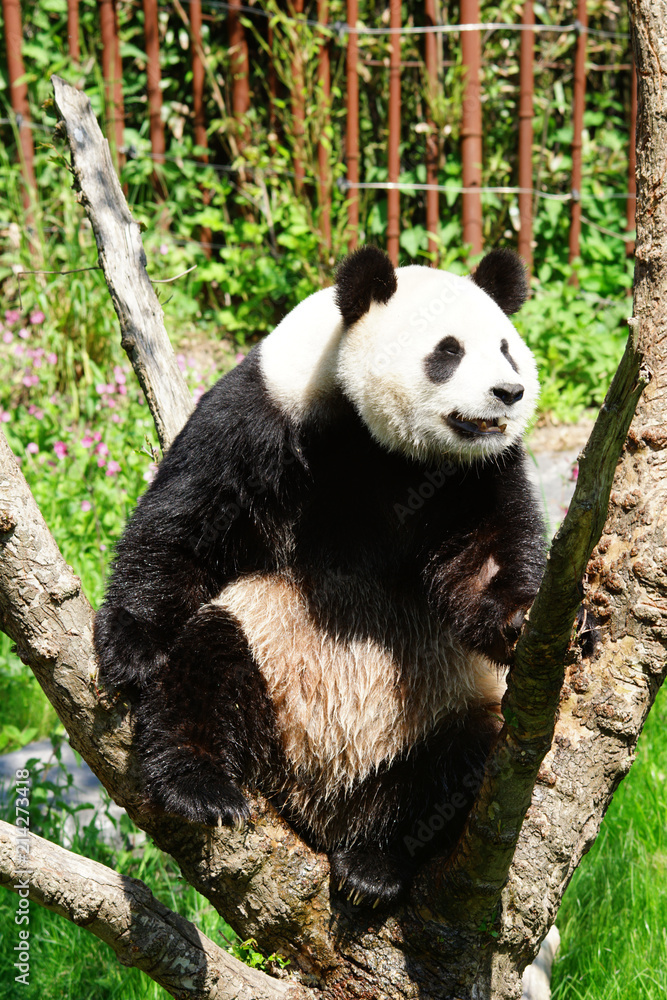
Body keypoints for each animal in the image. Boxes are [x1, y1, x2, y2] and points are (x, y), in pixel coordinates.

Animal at [94, 245, 546, 907]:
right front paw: (131, 647)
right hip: (267, 656)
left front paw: (525, 617)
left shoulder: (479, 473)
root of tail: (321, 802)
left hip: (442, 705)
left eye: (508, 348)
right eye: (449, 351)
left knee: (459, 760)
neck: (384, 449)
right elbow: (187, 523)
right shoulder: (265, 414)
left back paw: (374, 864)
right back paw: (201, 786)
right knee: (207, 662)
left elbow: (484, 559)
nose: (508, 393)